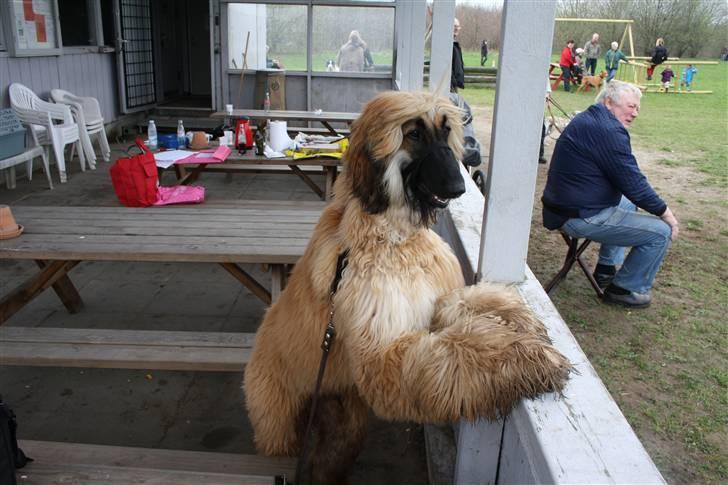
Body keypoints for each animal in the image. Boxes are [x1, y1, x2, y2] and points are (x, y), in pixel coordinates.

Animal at [243, 91, 568, 484]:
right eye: (413, 134)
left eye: (446, 132)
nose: (459, 188)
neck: (393, 238)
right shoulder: (382, 350)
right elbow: (452, 353)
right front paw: (531, 358)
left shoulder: (431, 297)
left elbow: (463, 303)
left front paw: (516, 317)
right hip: (279, 418)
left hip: (340, 410)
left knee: (329, 456)